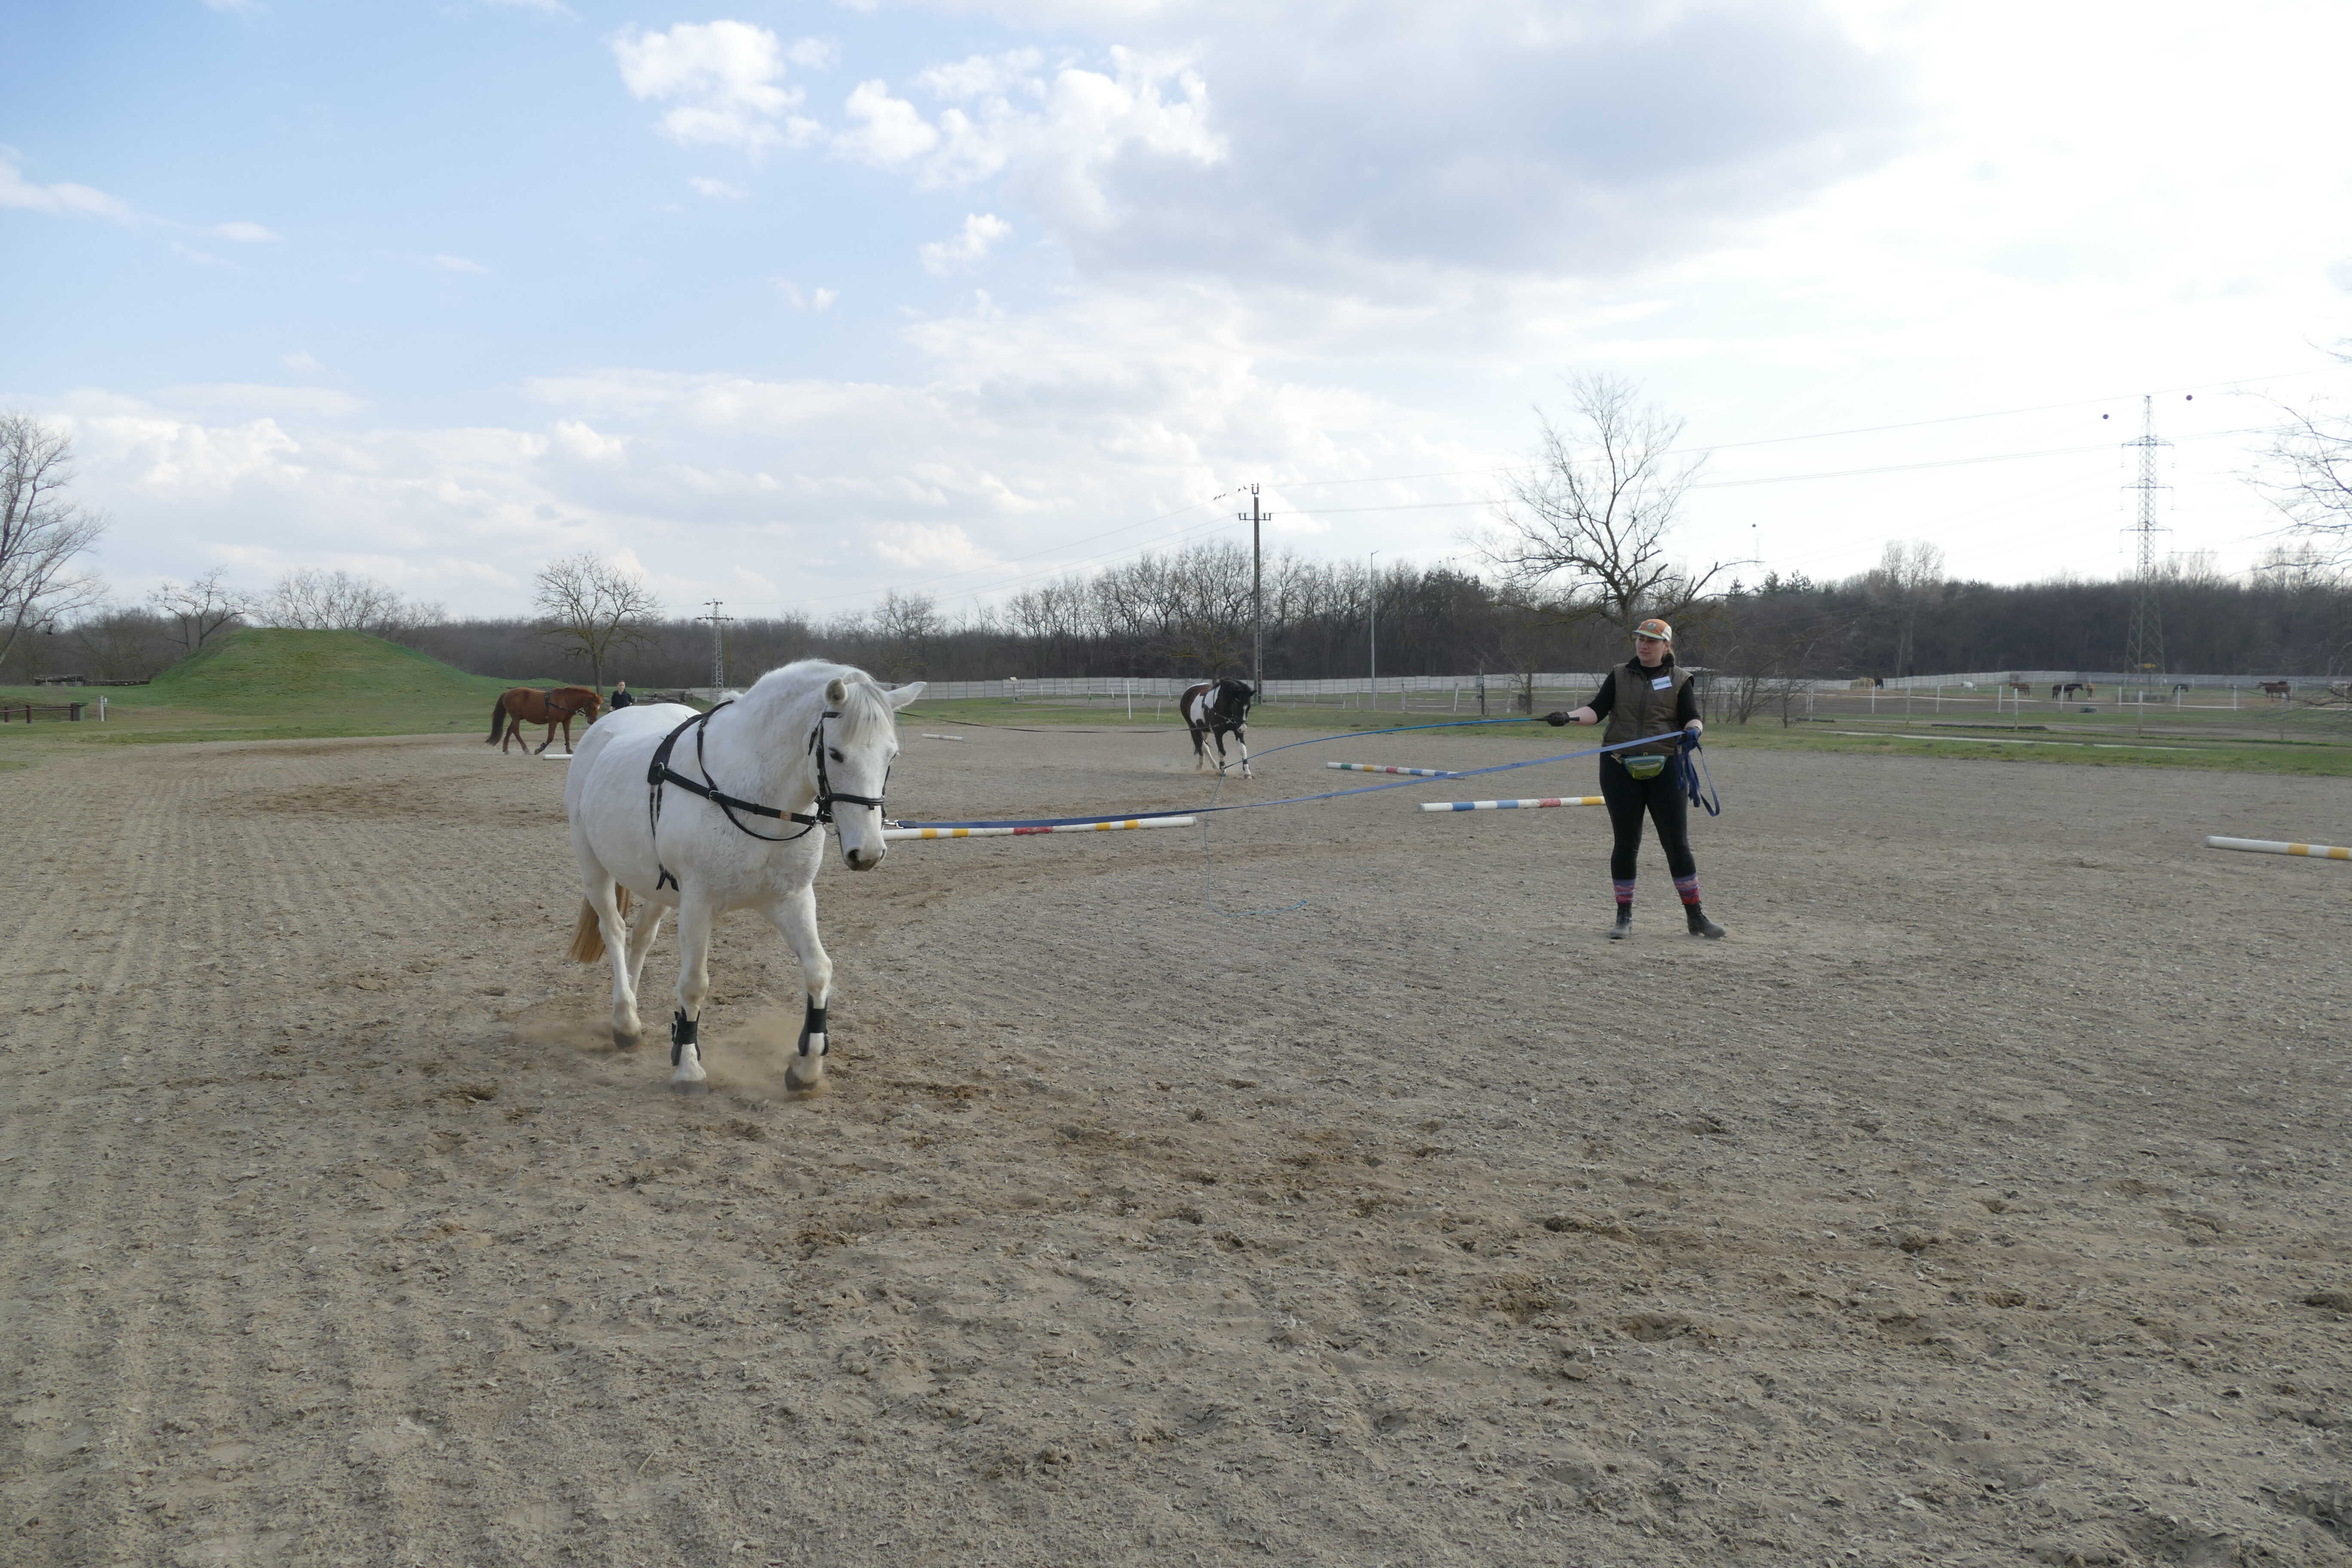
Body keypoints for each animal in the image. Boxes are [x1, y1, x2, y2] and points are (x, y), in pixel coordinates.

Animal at [490, 686, 604, 755]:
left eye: (599, 708)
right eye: (594, 707)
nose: (593, 721)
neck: (565, 700)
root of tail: (507, 693)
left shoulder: (567, 722)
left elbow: (567, 736)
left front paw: (569, 750)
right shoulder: (553, 721)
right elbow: (551, 737)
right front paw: (540, 749)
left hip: (517, 718)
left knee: (510, 731)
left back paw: (506, 749)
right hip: (516, 717)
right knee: (516, 732)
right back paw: (526, 749)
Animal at [562, 661, 923, 1094]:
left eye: (892, 755)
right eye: (836, 754)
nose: (867, 853)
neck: (754, 797)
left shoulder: (792, 899)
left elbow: (819, 971)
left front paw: (806, 1066)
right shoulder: (698, 904)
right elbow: (694, 983)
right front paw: (688, 1067)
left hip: (658, 887)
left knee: (642, 936)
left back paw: (629, 1008)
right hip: (592, 866)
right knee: (614, 930)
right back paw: (625, 1021)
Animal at [1179, 677, 1257, 777]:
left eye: (1249, 707)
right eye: (1236, 705)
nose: (1243, 728)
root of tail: (1189, 692)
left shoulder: (1237, 731)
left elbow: (1243, 750)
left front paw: (1247, 772)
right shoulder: (1218, 733)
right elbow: (1222, 752)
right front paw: (1223, 769)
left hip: (1205, 729)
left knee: (1203, 745)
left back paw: (1203, 765)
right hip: (1193, 727)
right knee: (1203, 746)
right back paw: (1213, 767)